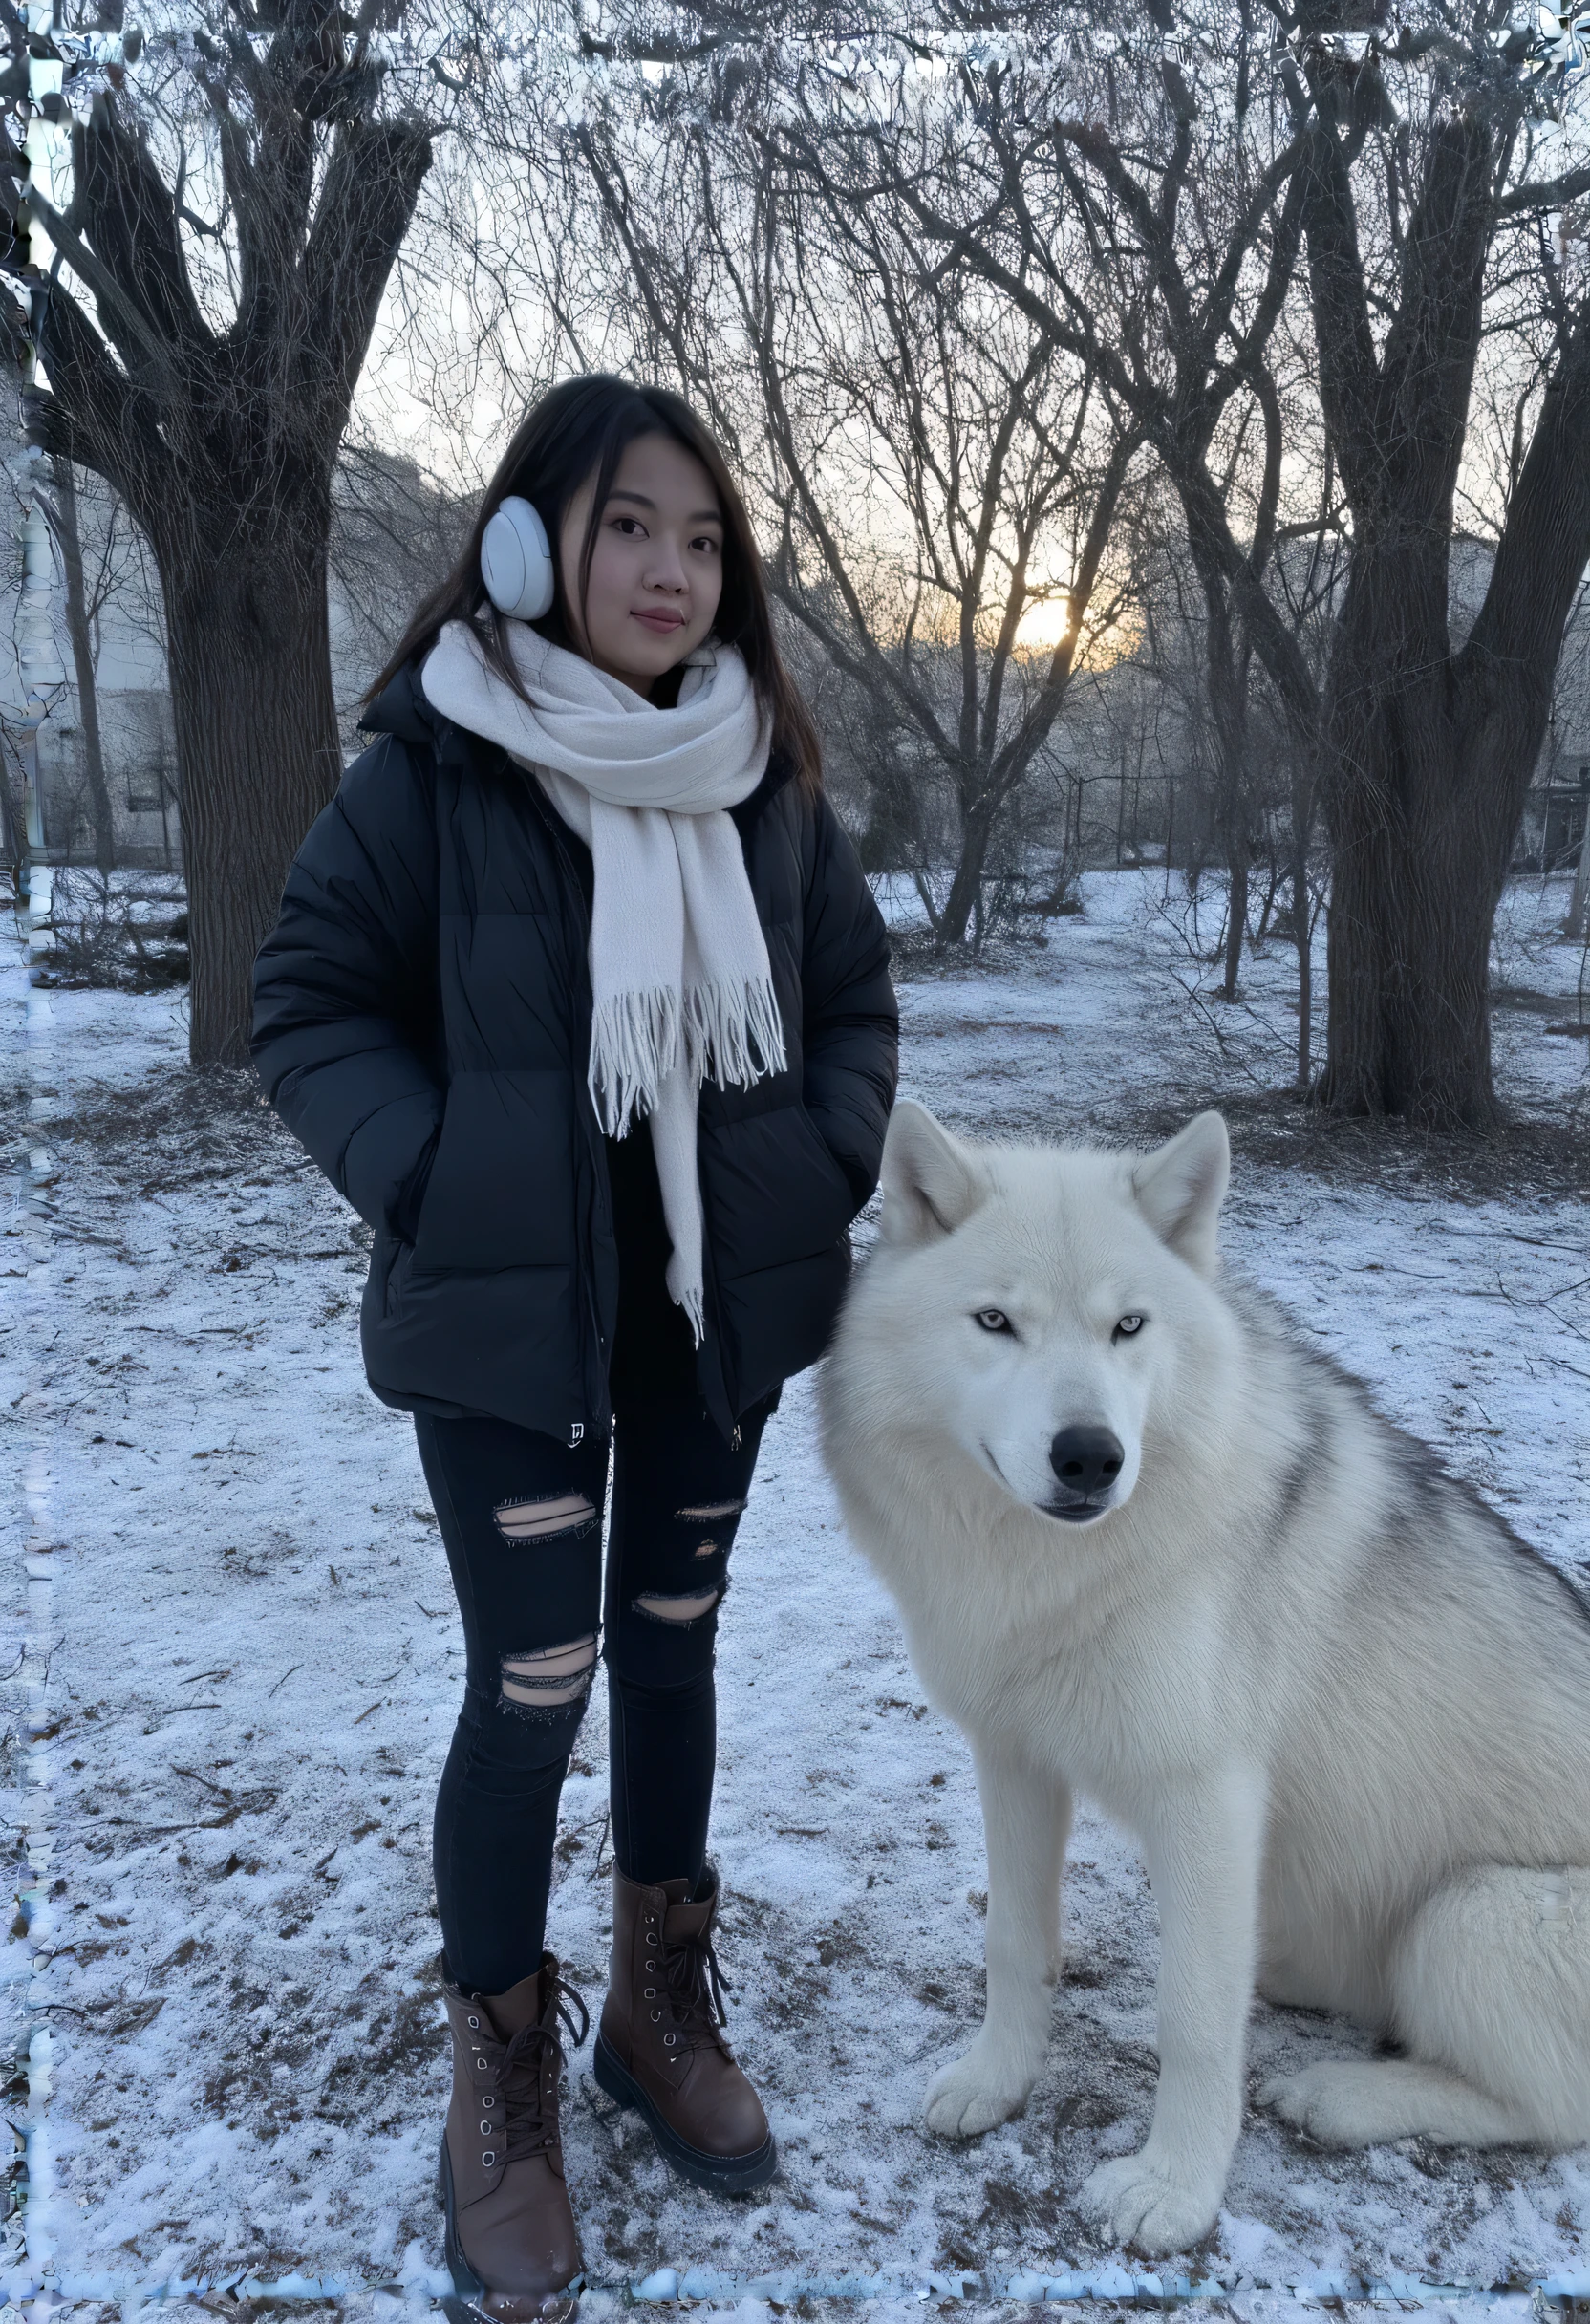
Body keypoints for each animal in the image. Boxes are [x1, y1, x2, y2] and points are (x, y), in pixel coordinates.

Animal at [818, 1106, 1590, 2249]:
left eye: (1129, 1327)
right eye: (995, 1321)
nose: (1089, 1455)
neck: (1053, 1579)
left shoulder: (1208, 1796)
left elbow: (1191, 2019)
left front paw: (1173, 2192)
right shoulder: (1013, 1757)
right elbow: (1013, 1940)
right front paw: (996, 2082)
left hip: (1468, 1917)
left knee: (1548, 2109)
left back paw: (1336, 2094)